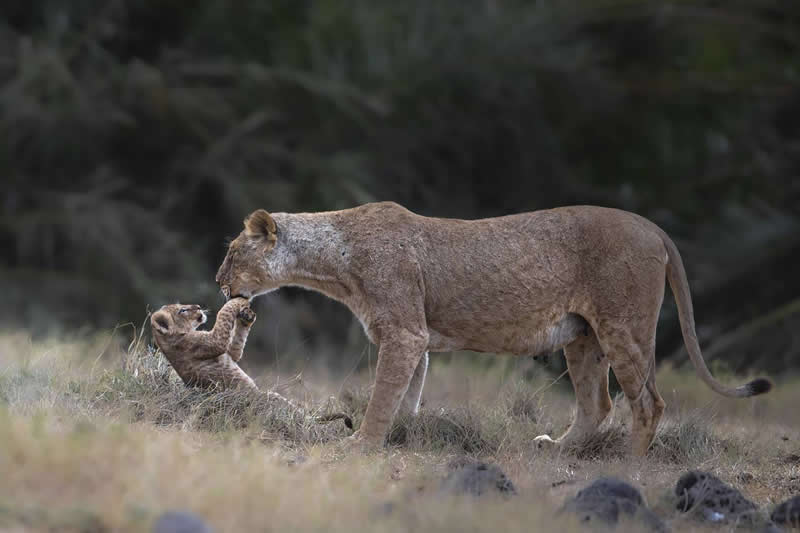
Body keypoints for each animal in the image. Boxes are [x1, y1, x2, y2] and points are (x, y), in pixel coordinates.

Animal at [215, 202, 771, 456]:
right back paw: (557, 449)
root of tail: (653, 227)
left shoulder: (405, 332)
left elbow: (381, 396)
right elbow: (406, 397)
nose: (218, 282)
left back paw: (630, 464)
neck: (334, 261)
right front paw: (401, 437)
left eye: (232, 251)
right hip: (583, 337)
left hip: (624, 327)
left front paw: (361, 445)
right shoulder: (415, 338)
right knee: (598, 404)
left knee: (649, 403)